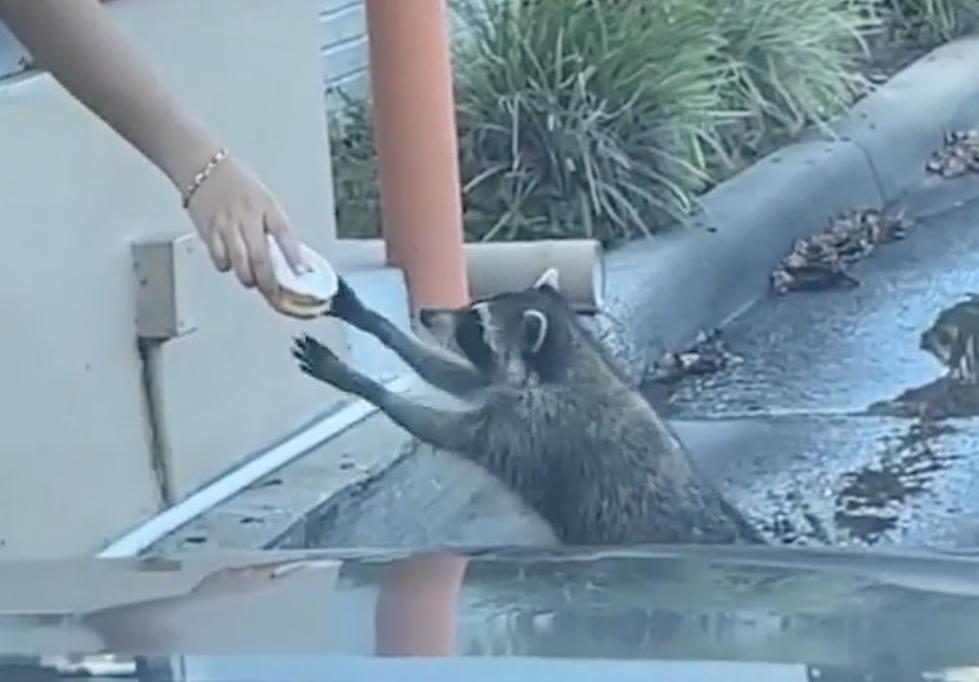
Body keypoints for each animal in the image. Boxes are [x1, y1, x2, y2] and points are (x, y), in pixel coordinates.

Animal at [292, 268, 764, 544]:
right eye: (471, 308)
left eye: (474, 324)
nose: (425, 313)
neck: (563, 360)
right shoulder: (511, 393)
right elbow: (461, 380)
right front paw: (373, 321)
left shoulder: (537, 427)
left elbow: (448, 431)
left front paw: (365, 385)